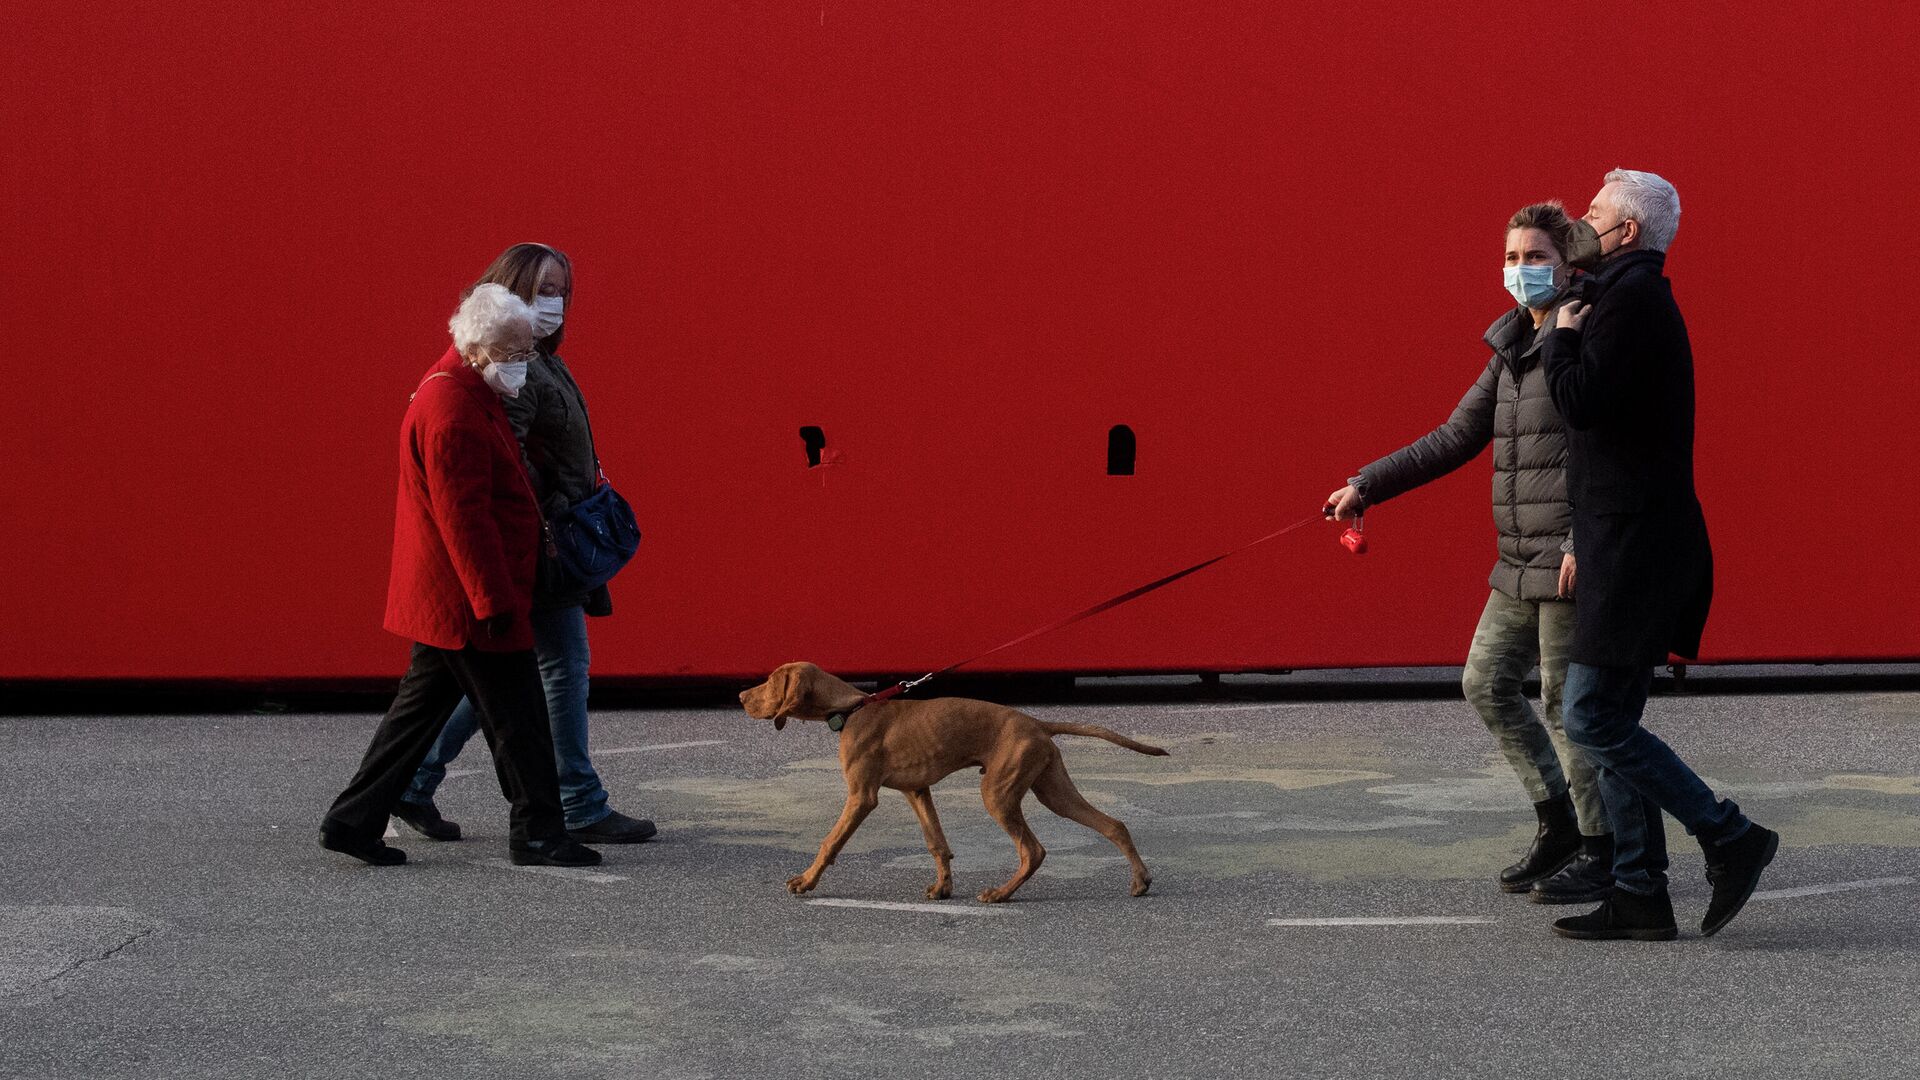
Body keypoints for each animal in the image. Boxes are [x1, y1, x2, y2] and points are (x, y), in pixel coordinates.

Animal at [733, 657, 1159, 899]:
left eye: (770, 682)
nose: (739, 696)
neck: (852, 709)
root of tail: (1037, 722)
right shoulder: (916, 790)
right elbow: (936, 843)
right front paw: (943, 888)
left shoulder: (861, 795)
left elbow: (829, 842)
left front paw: (805, 883)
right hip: (1054, 791)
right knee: (1114, 825)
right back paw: (1140, 881)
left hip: (997, 792)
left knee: (1033, 850)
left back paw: (1000, 894)